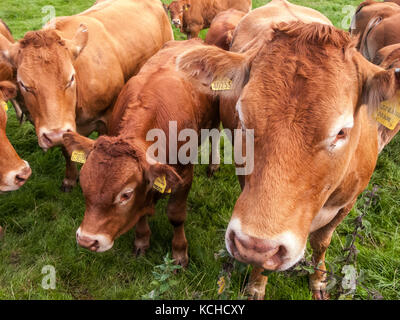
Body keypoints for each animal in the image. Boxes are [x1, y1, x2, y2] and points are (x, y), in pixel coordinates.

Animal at [0, 0, 172, 191]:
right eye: (23, 84)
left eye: (71, 78)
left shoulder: (108, 118)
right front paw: (70, 178)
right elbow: (67, 149)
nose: (54, 135)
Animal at [63, 38, 219, 266]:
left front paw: (179, 251)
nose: (86, 240)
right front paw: (142, 240)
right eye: (83, 183)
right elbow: (141, 214)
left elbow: (176, 216)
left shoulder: (184, 176)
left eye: (125, 195)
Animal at [177, 0, 400, 300]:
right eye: (242, 117)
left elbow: (322, 242)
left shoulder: (348, 202)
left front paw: (318, 281)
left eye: (341, 132)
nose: (254, 244)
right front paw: (256, 286)